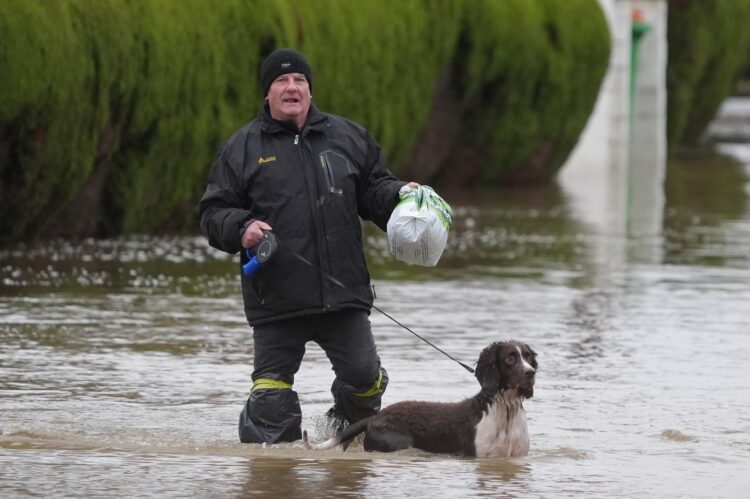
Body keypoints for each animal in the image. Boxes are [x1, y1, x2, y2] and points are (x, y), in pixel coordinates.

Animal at [302, 342, 536, 458]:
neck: (505, 410)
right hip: (397, 443)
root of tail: (373, 418)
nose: (531, 373)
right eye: (509, 358)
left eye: (528, 357)